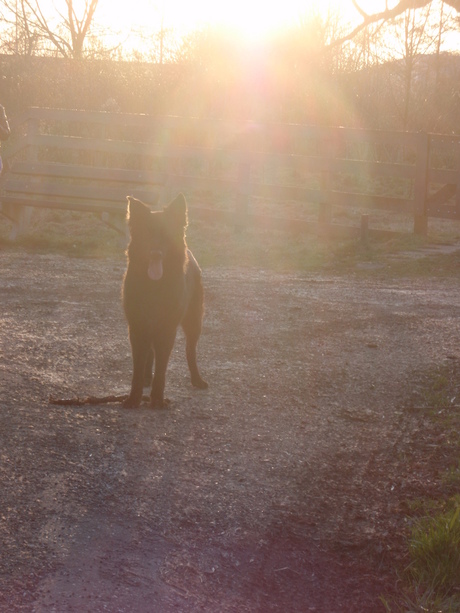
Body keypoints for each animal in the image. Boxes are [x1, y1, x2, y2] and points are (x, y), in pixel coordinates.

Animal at [123, 194, 208, 408]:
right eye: (147, 233)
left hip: (194, 323)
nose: (155, 254)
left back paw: (196, 379)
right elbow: (138, 365)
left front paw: (158, 399)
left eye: (166, 235)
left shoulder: (166, 330)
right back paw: (147, 377)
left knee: (190, 351)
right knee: (149, 355)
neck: (155, 288)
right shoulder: (137, 328)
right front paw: (134, 397)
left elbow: (162, 368)